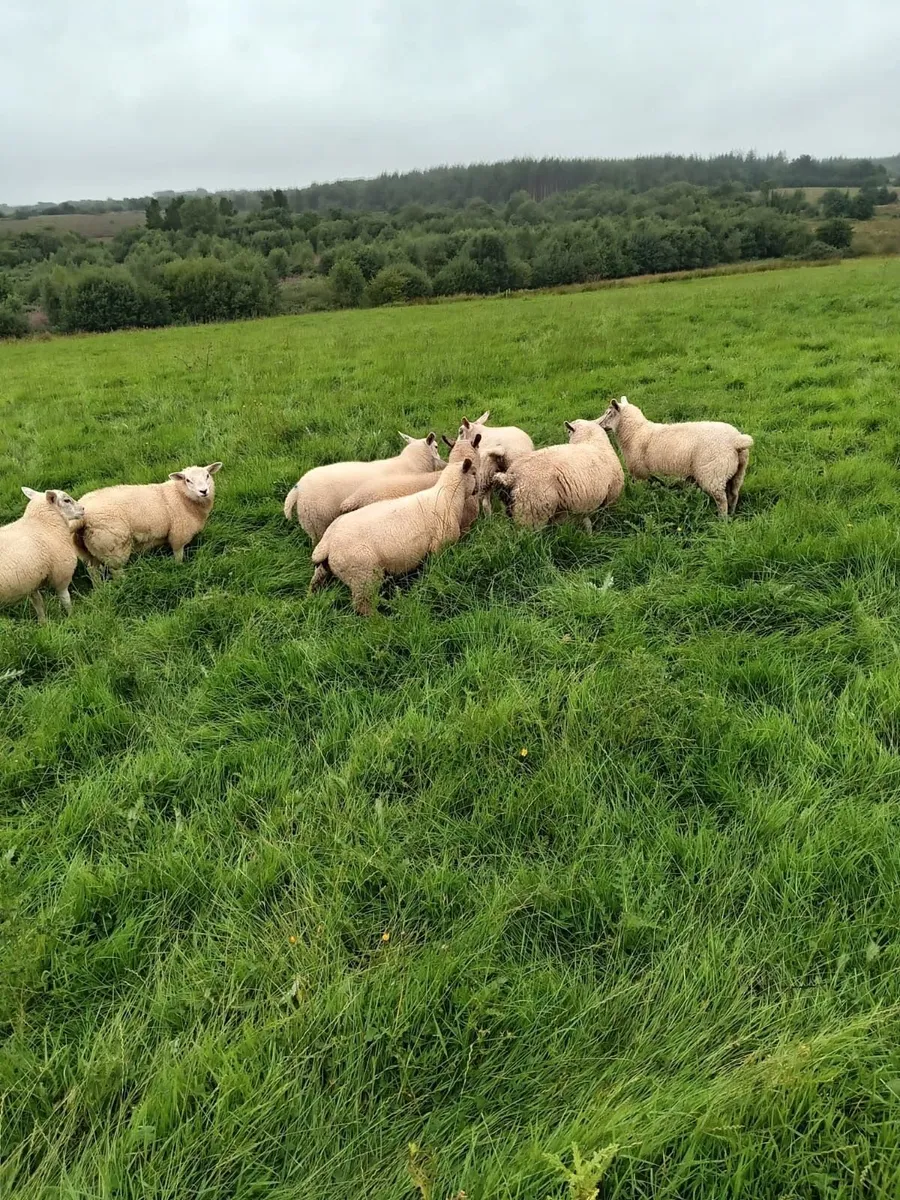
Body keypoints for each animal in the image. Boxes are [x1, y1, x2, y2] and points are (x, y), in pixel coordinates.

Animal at [0, 487, 85, 622]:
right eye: (66, 500)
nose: (83, 509)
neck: (44, 524)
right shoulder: (61, 574)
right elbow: (65, 599)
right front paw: (72, 617)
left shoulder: (32, 581)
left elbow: (38, 603)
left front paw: (43, 623)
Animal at [75, 463, 222, 575]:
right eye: (188, 480)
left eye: (207, 475)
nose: (204, 491)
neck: (181, 496)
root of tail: (82, 516)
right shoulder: (178, 535)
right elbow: (178, 556)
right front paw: (180, 568)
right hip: (112, 547)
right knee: (116, 571)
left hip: (89, 551)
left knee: (92, 570)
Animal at [309, 456, 477, 615]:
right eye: (474, 473)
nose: (478, 489)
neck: (448, 497)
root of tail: (328, 543)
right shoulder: (440, 546)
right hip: (363, 575)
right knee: (362, 605)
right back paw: (380, 619)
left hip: (329, 569)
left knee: (316, 581)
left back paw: (311, 598)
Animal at [492, 419, 624, 531]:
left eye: (569, 431)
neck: (591, 440)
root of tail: (511, 477)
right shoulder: (610, 497)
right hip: (532, 512)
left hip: (510, 508)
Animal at [598, 397, 753, 517]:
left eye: (609, 413)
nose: (598, 424)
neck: (635, 433)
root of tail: (736, 440)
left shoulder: (640, 474)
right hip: (737, 473)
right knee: (733, 495)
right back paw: (731, 515)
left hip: (713, 474)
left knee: (722, 501)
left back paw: (722, 520)